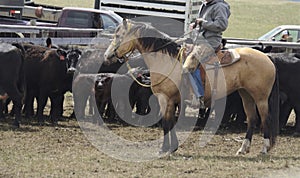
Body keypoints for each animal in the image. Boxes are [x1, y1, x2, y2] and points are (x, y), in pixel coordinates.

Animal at [104, 19, 280, 154]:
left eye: (118, 35)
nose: (107, 56)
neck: (166, 60)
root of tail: (268, 58)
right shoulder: (169, 101)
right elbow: (169, 123)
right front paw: (172, 147)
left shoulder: (165, 98)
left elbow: (166, 123)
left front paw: (164, 149)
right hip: (246, 94)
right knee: (252, 119)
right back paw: (243, 149)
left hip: (261, 97)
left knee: (266, 118)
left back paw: (264, 149)